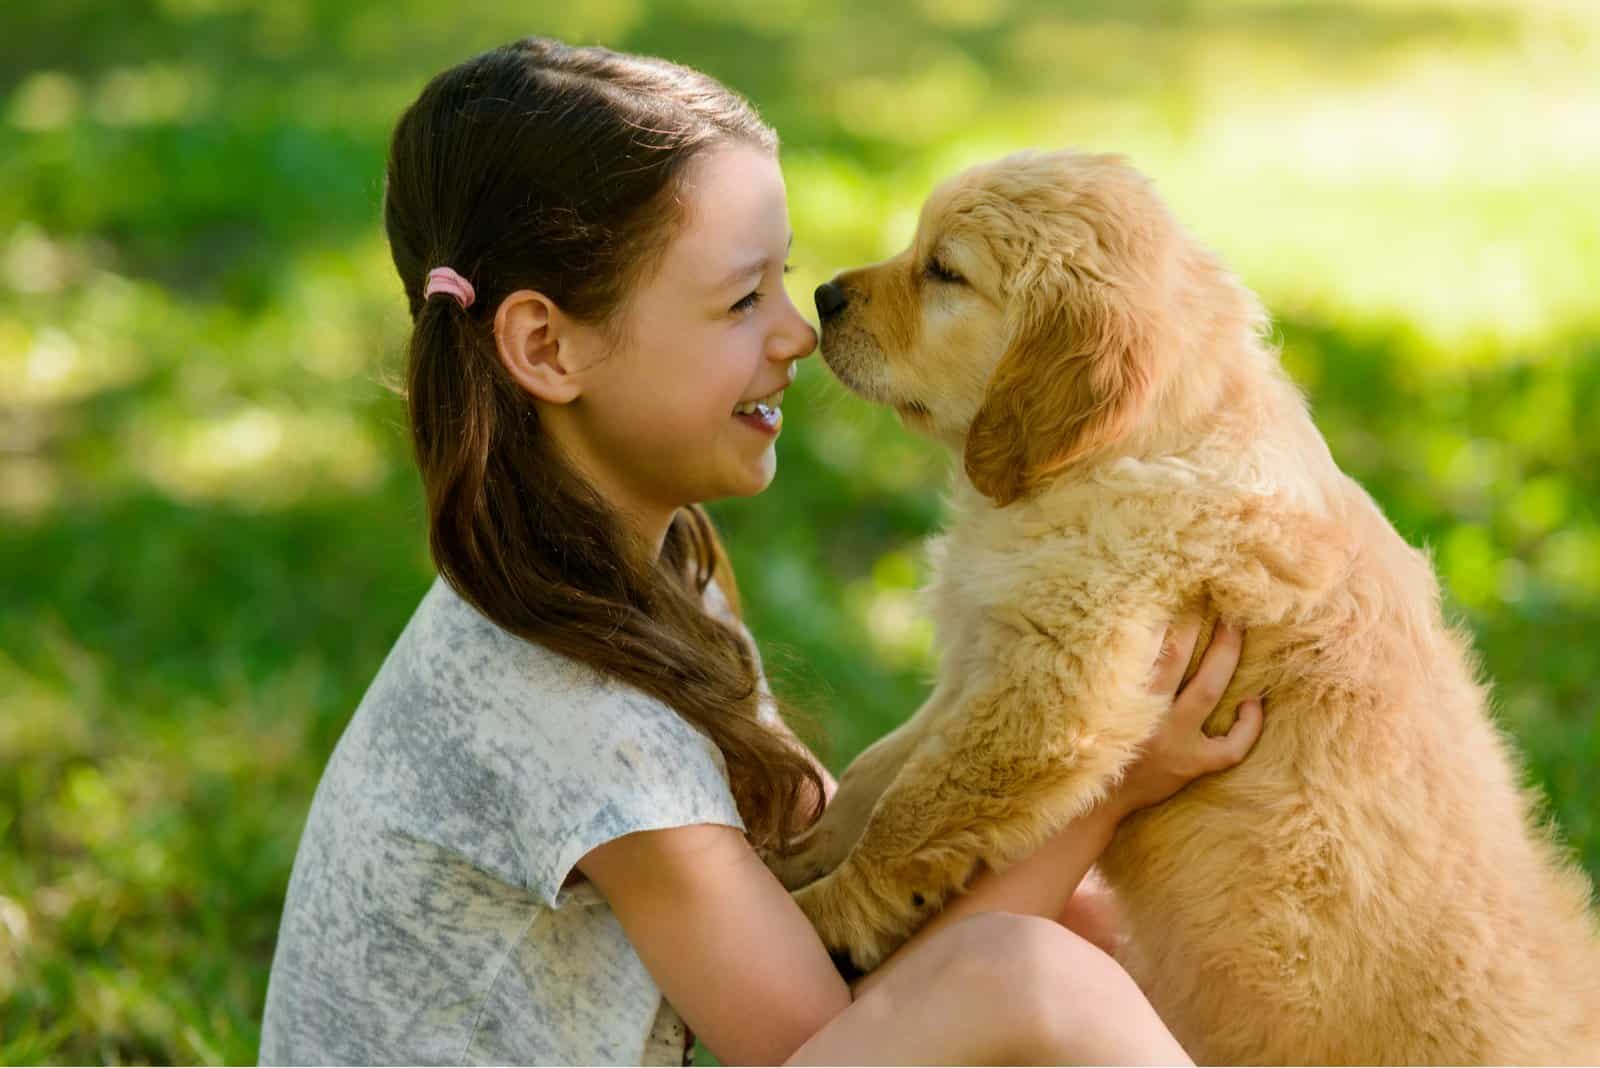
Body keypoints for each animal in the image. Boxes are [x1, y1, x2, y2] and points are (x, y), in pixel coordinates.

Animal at [784, 147, 1600, 1061]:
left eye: (944, 272)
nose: (823, 296)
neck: (1129, 448)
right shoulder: (983, 655)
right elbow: (876, 771)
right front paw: (798, 856)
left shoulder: (1053, 689)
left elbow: (912, 806)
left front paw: (831, 911)